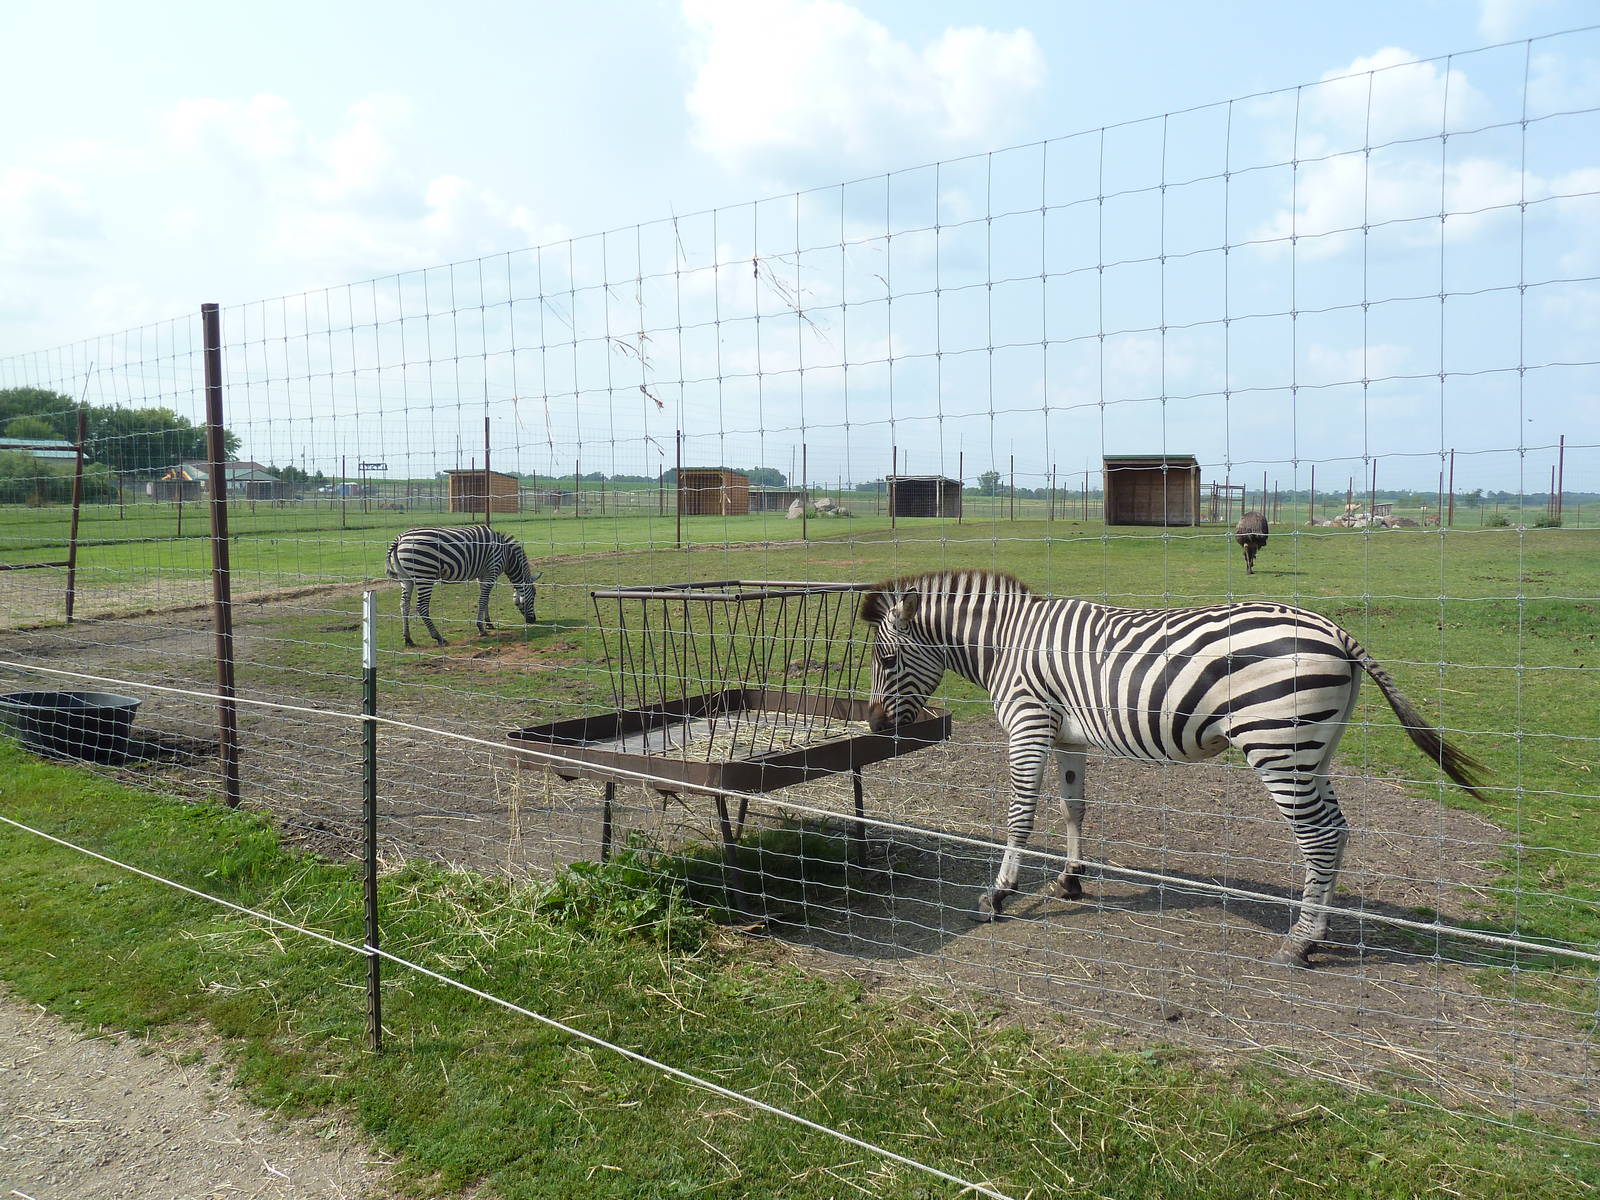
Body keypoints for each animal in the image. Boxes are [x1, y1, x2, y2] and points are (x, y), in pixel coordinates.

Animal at [385, 525, 542, 647]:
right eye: (534, 595)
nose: (533, 620)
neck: (507, 555)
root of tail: (400, 538)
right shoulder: (492, 570)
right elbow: (483, 599)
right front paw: (481, 628)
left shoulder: (482, 575)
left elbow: (486, 599)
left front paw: (488, 623)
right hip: (425, 573)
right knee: (421, 606)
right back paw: (439, 638)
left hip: (406, 578)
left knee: (404, 605)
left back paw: (408, 639)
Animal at [858, 570, 1484, 967]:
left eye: (885, 659)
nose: (874, 726)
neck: (1006, 643)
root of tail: (1336, 631)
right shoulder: (1065, 736)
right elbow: (1072, 805)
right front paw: (1071, 880)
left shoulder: (1028, 724)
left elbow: (1019, 815)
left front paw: (998, 895)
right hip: (1314, 748)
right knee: (1339, 829)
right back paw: (1317, 932)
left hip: (1275, 743)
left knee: (1320, 836)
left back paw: (1299, 943)